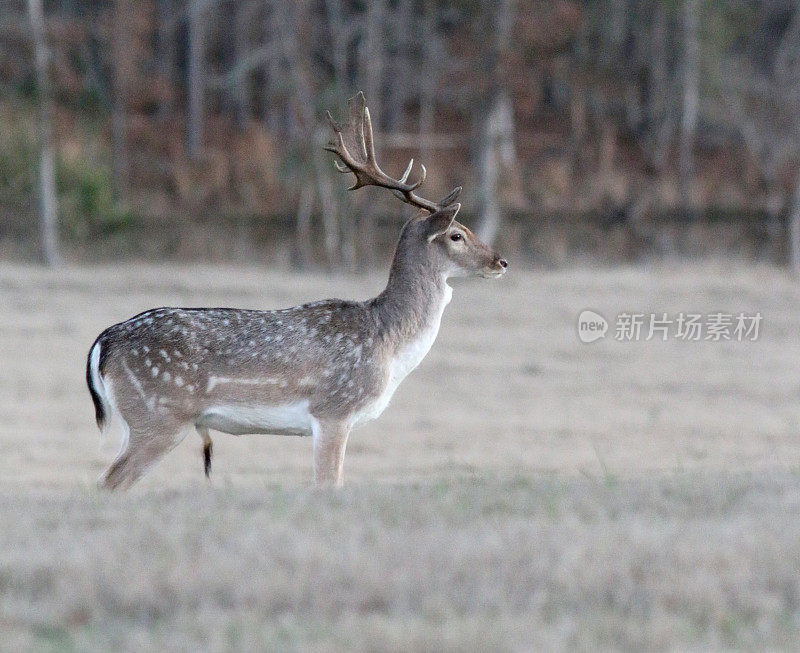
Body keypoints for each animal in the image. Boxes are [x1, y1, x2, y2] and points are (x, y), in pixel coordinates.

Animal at [86, 93, 506, 488]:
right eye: (456, 234)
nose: (500, 262)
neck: (388, 345)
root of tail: (103, 343)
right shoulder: (334, 408)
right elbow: (329, 484)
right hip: (159, 414)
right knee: (108, 483)